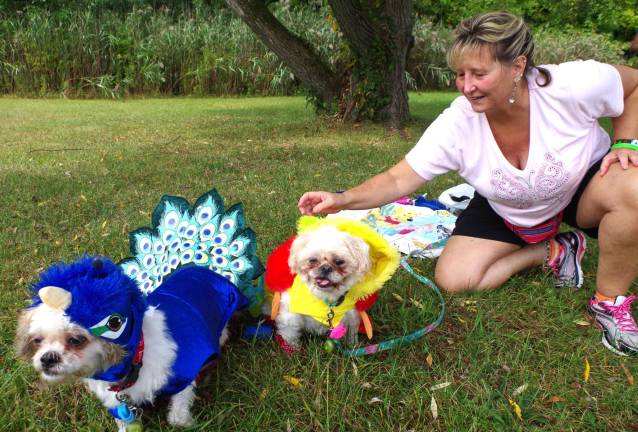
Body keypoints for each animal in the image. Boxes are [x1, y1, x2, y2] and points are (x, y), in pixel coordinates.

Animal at [264, 218, 400, 352]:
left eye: (339, 262)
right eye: (312, 260)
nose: (325, 268)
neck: (325, 300)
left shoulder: (351, 317)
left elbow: (351, 335)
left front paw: (352, 346)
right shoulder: (290, 318)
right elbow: (290, 335)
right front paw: (292, 349)